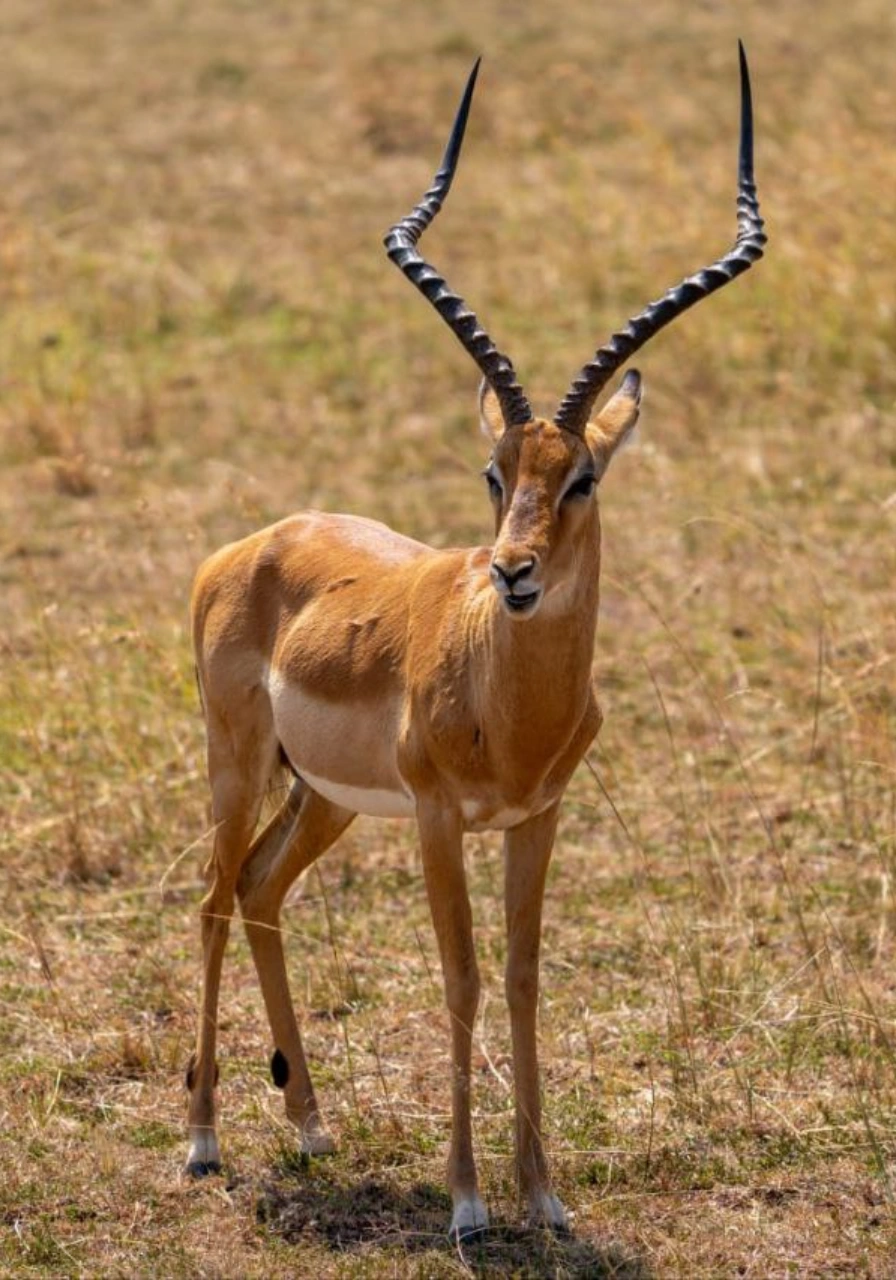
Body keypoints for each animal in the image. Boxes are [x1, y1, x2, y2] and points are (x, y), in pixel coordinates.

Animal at [185, 45, 765, 1239]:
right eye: (494, 475)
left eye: (580, 478)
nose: (512, 572)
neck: (512, 702)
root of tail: (252, 544)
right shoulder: (442, 819)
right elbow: (458, 977)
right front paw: (465, 1203)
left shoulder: (536, 816)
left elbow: (526, 974)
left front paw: (543, 1194)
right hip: (237, 764)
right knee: (213, 897)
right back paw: (206, 1140)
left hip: (320, 797)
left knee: (261, 889)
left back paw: (312, 1127)